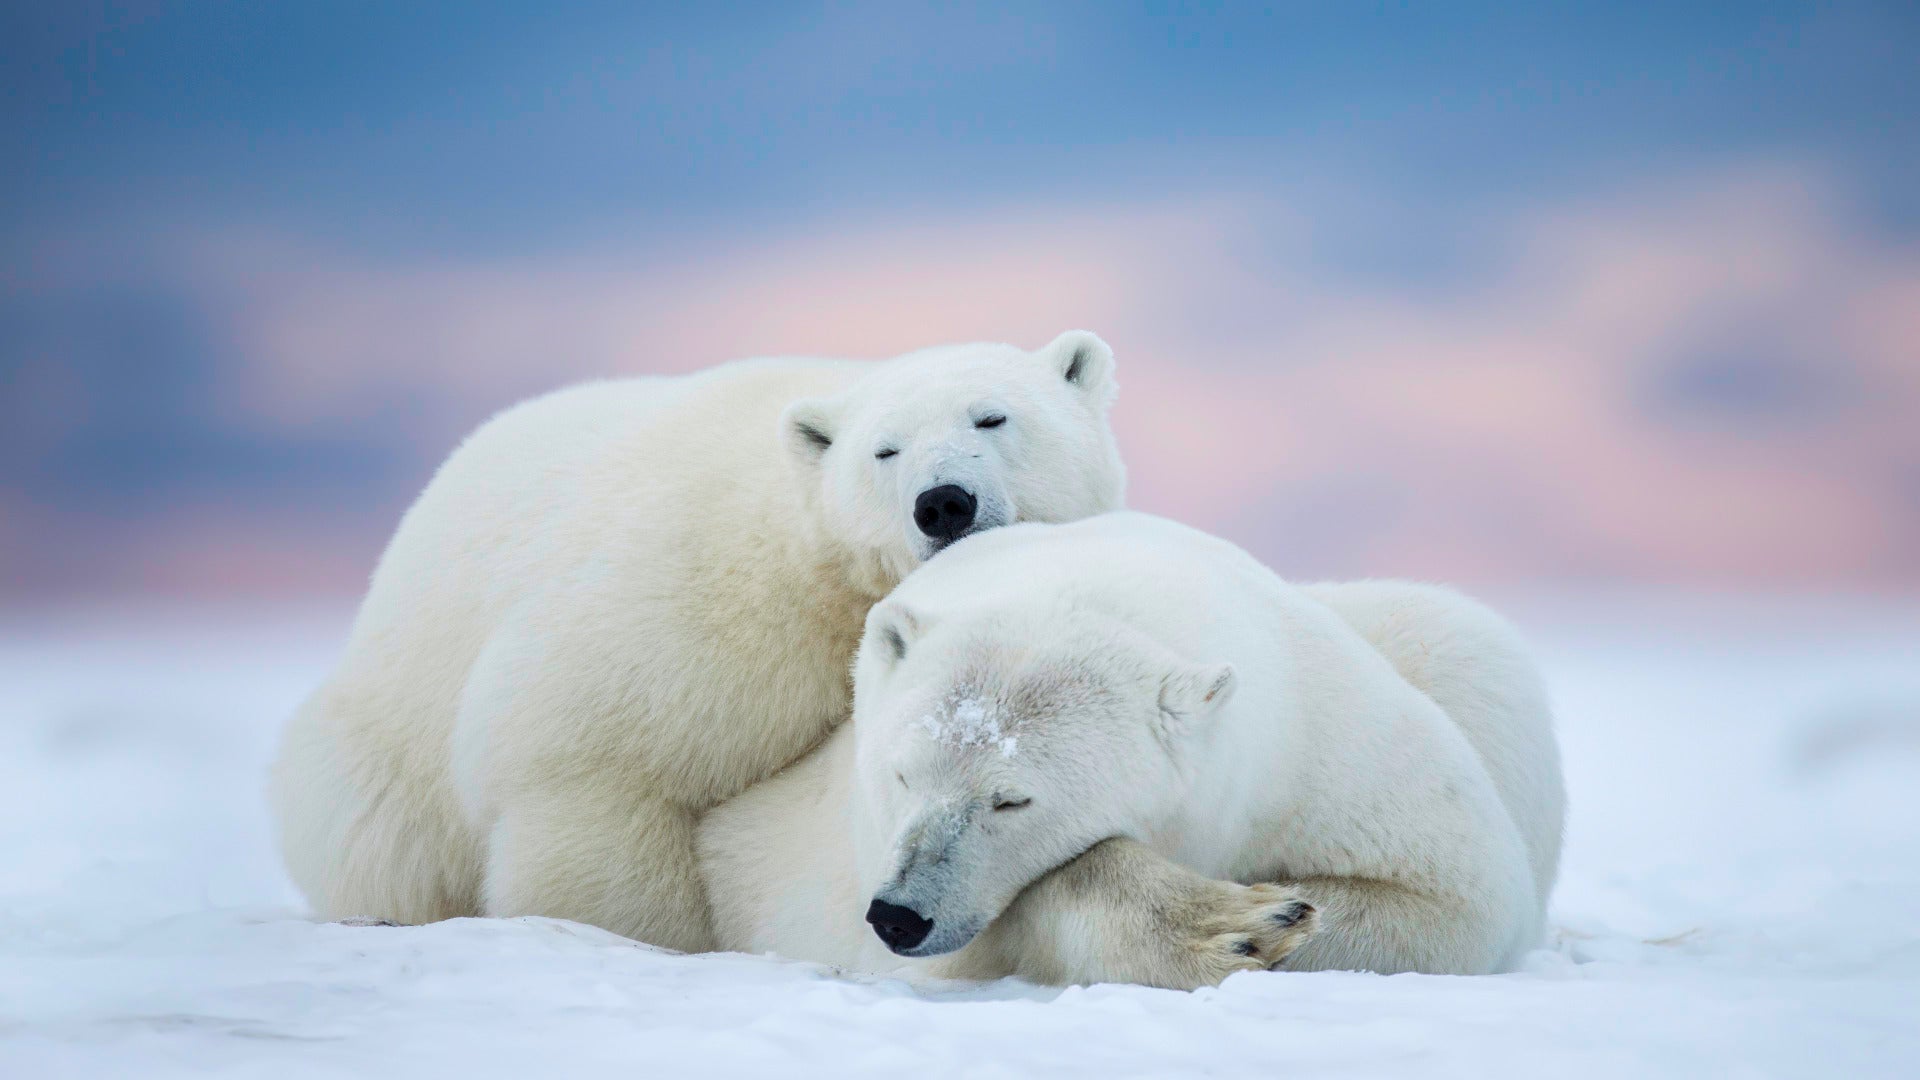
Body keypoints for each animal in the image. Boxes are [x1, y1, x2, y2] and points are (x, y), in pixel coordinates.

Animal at [269, 331, 1127, 951]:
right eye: (884, 450)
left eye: (993, 417)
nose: (943, 502)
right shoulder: (694, 605)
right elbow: (597, 765)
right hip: (385, 743)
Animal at [695, 511, 1565, 986]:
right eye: (901, 774)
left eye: (1011, 799)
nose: (899, 915)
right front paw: (1236, 924)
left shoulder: (1320, 743)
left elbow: (1455, 896)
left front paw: (1274, 914)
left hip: (1455, 652)